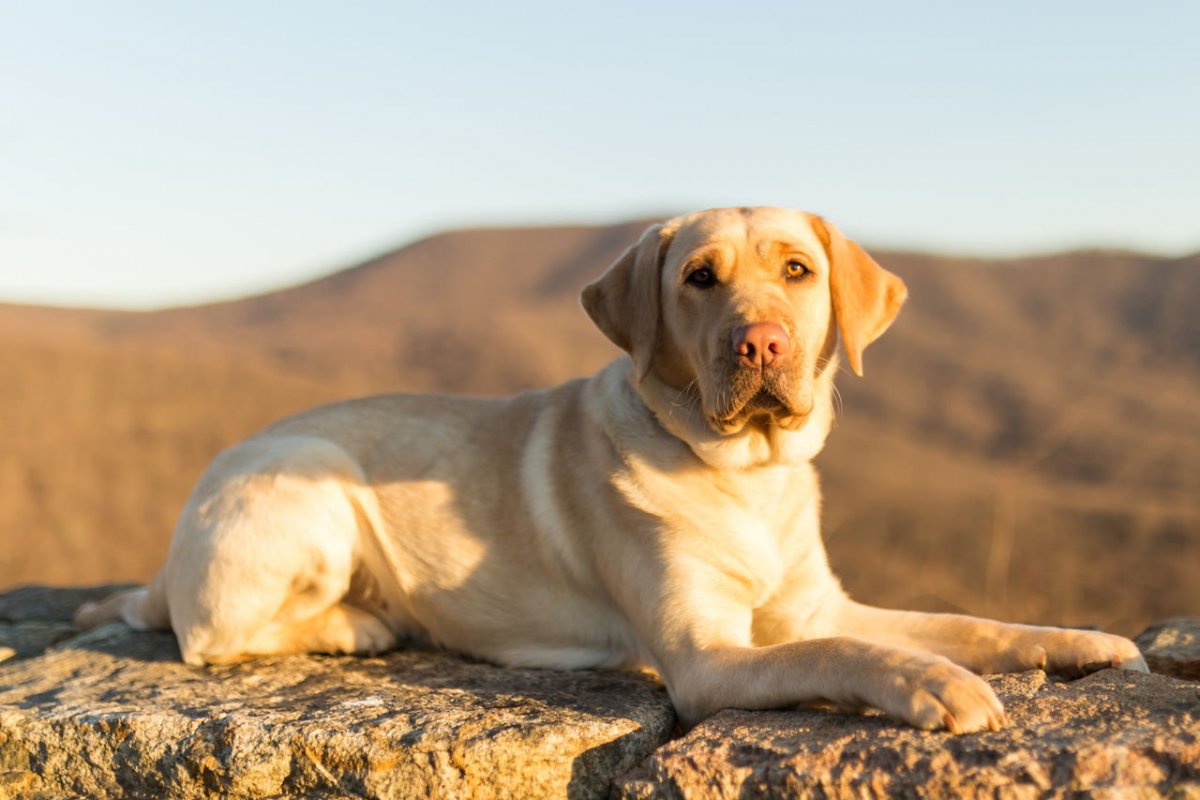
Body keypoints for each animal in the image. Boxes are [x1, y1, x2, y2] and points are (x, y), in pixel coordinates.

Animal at [75, 206, 1142, 734]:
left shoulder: (819, 604)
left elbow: (963, 622)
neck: (745, 476)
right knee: (210, 636)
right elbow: (850, 654)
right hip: (311, 477)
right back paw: (360, 621)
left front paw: (1076, 640)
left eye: (797, 270)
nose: (760, 344)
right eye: (699, 278)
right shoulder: (710, 657)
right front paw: (935, 686)